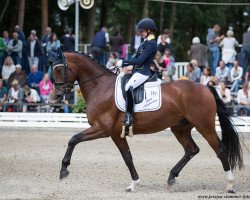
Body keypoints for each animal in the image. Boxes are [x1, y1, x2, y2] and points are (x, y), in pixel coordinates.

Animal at [51, 50, 242, 193]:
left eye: (60, 70)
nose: (58, 96)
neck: (100, 86)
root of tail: (205, 87)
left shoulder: (103, 129)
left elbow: (74, 139)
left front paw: (63, 170)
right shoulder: (116, 133)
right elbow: (127, 157)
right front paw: (133, 183)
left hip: (204, 125)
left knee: (220, 149)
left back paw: (230, 185)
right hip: (180, 128)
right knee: (191, 150)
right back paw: (171, 178)